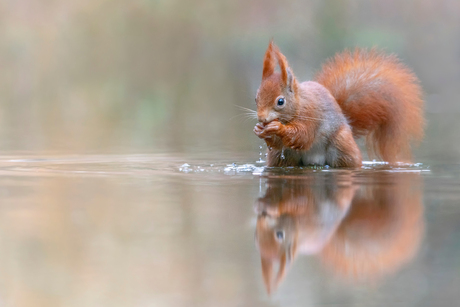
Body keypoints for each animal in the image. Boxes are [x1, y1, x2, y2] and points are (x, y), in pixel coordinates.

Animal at [255, 41, 424, 168]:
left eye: (280, 101)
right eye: (256, 98)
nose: (262, 119)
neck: (299, 105)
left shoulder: (311, 115)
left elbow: (301, 136)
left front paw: (277, 127)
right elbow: (277, 145)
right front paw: (259, 130)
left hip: (341, 144)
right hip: (281, 157)